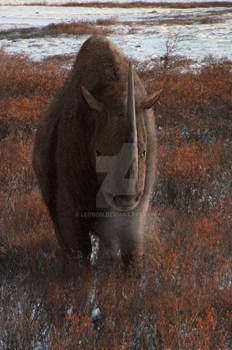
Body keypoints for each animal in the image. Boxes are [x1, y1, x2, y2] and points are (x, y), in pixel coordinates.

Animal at [33, 35, 161, 268]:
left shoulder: (139, 205)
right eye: (98, 152)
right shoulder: (68, 205)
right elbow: (78, 249)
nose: (126, 198)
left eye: (144, 152)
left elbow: (132, 248)